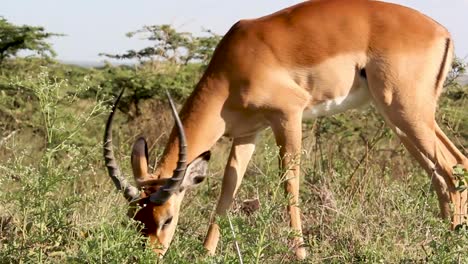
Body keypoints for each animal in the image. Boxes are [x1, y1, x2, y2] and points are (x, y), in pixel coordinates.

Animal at [104, 0, 466, 260]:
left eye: (166, 218)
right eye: (136, 219)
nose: (149, 256)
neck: (234, 65)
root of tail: (441, 31)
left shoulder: (288, 116)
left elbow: (289, 182)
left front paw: (301, 253)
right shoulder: (247, 134)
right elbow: (227, 189)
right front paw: (206, 253)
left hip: (405, 110)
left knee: (452, 166)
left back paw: (453, 243)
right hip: (404, 117)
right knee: (444, 169)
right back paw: (444, 237)